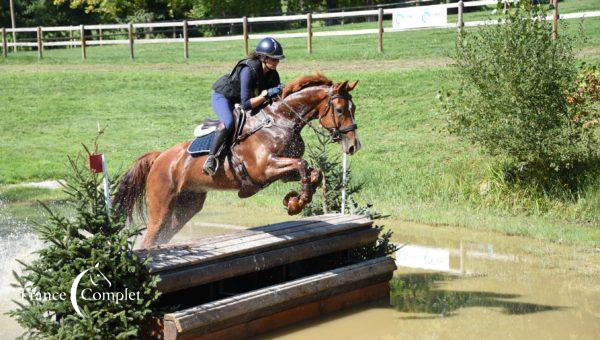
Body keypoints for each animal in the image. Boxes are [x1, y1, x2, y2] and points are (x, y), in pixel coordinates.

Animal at [116, 73, 360, 247]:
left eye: (353, 108)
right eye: (340, 110)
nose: (353, 146)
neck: (280, 120)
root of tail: (160, 157)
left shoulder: (280, 172)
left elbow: (313, 172)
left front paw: (295, 200)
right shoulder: (264, 169)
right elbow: (302, 165)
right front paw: (295, 203)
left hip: (188, 204)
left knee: (163, 235)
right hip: (162, 204)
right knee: (151, 236)